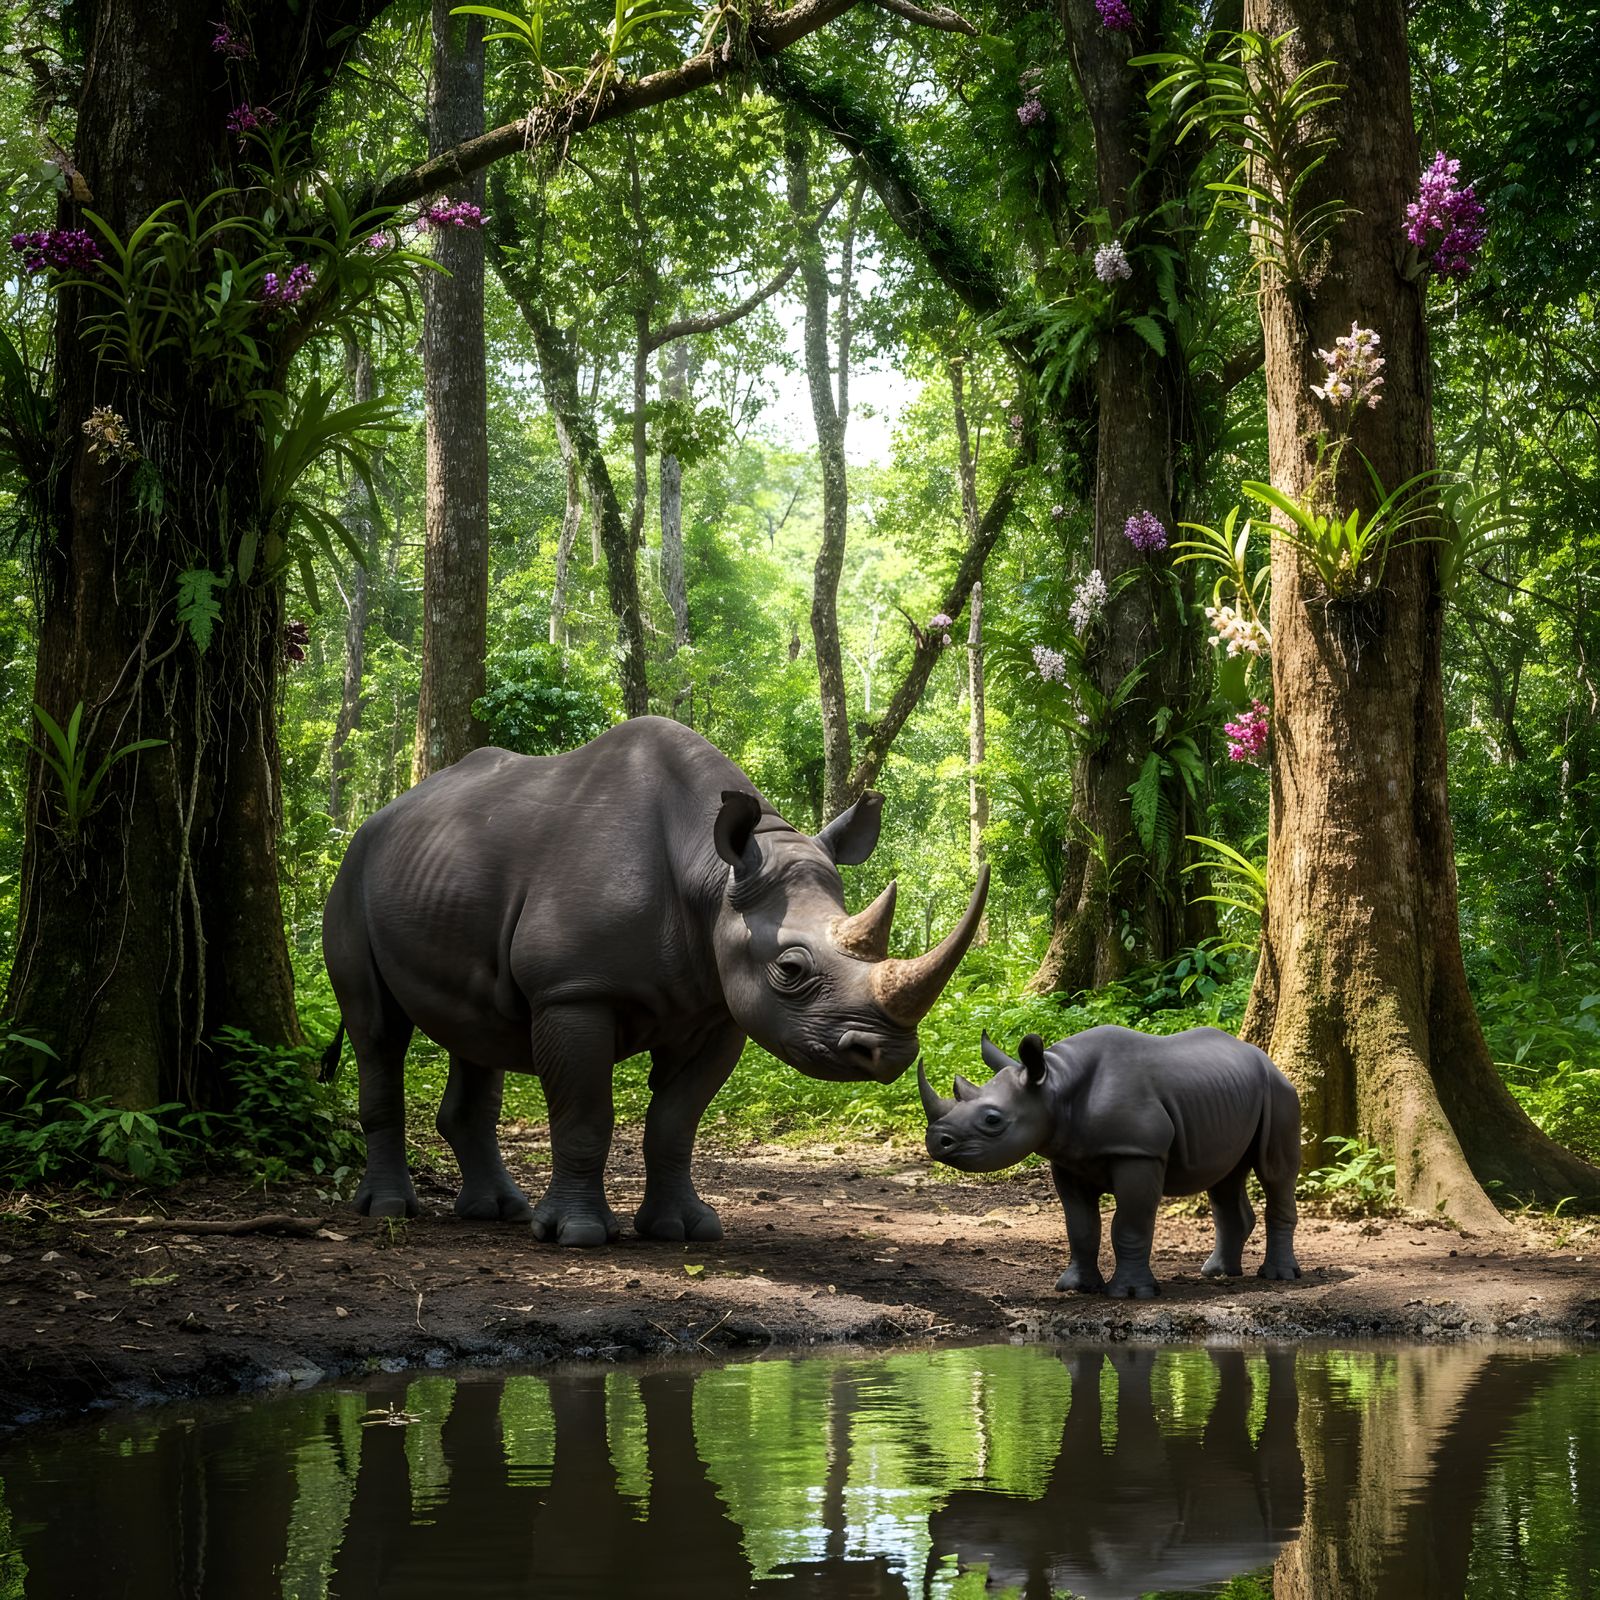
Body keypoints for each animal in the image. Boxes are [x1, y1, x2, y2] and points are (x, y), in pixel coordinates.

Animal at [323, 717, 988, 1246]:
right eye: (791, 969)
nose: (890, 1054)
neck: (713, 874)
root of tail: (380, 818)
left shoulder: (718, 1008)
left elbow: (675, 1121)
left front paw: (683, 1230)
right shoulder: (573, 991)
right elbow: (585, 1113)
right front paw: (576, 1236)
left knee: (475, 1034)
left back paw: (498, 1213)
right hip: (353, 872)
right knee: (377, 1030)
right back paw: (390, 1211)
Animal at [919, 1026, 1302, 1296]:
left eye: (992, 1120)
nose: (936, 1140)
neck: (1054, 1086)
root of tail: (1266, 1058)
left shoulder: (1138, 1152)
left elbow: (1130, 1224)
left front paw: (1131, 1293)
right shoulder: (1068, 1159)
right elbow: (1080, 1227)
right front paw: (1076, 1287)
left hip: (1280, 1092)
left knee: (1276, 1173)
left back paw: (1279, 1276)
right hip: (1228, 1097)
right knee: (1224, 1177)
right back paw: (1217, 1273)